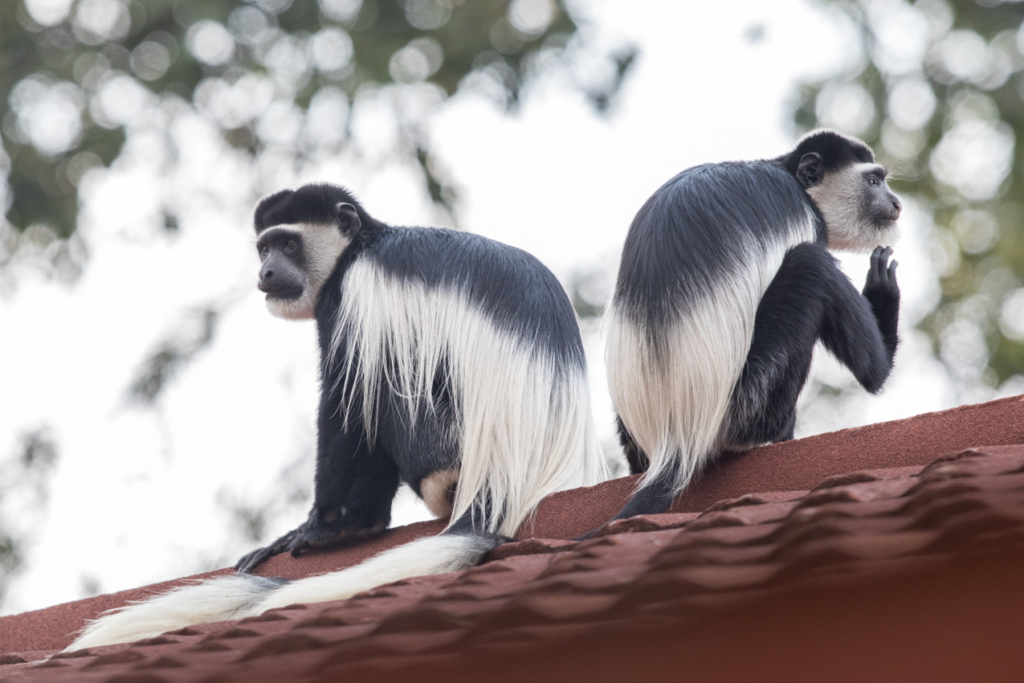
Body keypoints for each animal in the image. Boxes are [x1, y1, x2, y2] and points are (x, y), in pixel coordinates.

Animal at [74, 183, 606, 651]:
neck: (363, 245)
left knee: (380, 388)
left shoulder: (351, 296)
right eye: (264, 247)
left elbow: (345, 402)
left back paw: (360, 525)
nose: (267, 272)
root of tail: (505, 485)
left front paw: (318, 526)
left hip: (441, 443)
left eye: (289, 244)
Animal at [598, 131, 905, 528]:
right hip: (747, 402)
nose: (896, 203)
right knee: (811, 265)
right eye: (872, 182)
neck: (791, 179)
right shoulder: (809, 219)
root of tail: (677, 438)